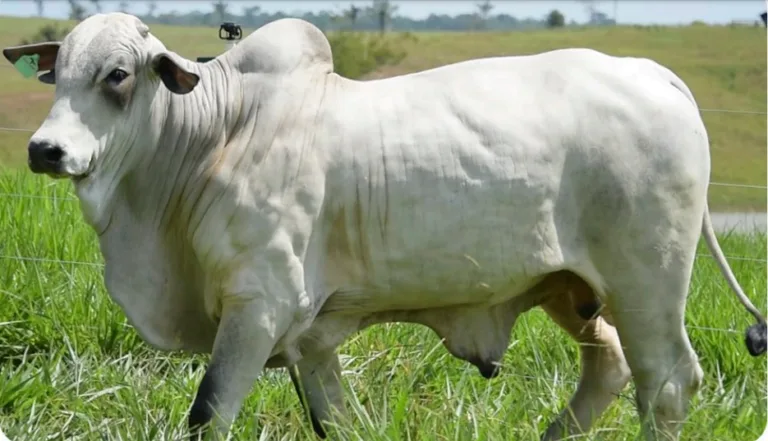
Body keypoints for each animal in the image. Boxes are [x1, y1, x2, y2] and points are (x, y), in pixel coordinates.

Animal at [3, 12, 764, 438]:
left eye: (118, 74)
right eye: (56, 74)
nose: (45, 150)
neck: (214, 136)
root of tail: (656, 74)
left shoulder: (257, 307)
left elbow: (208, 414)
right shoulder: (309, 336)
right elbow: (333, 420)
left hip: (647, 281)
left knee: (666, 382)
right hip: (571, 287)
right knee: (607, 365)